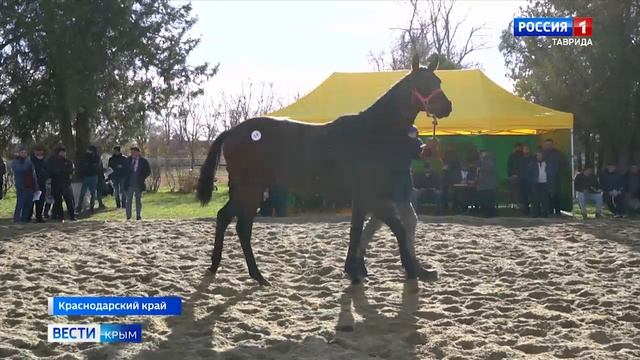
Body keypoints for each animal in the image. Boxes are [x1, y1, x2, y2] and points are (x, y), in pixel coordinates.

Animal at [198, 54, 452, 286]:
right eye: (424, 83)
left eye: (438, 81)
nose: (447, 107)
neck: (372, 132)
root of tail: (232, 131)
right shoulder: (371, 196)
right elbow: (397, 229)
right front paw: (410, 270)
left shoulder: (362, 198)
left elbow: (356, 231)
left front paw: (354, 271)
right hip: (251, 189)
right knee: (242, 226)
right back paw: (257, 275)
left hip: (245, 189)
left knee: (225, 217)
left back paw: (218, 266)